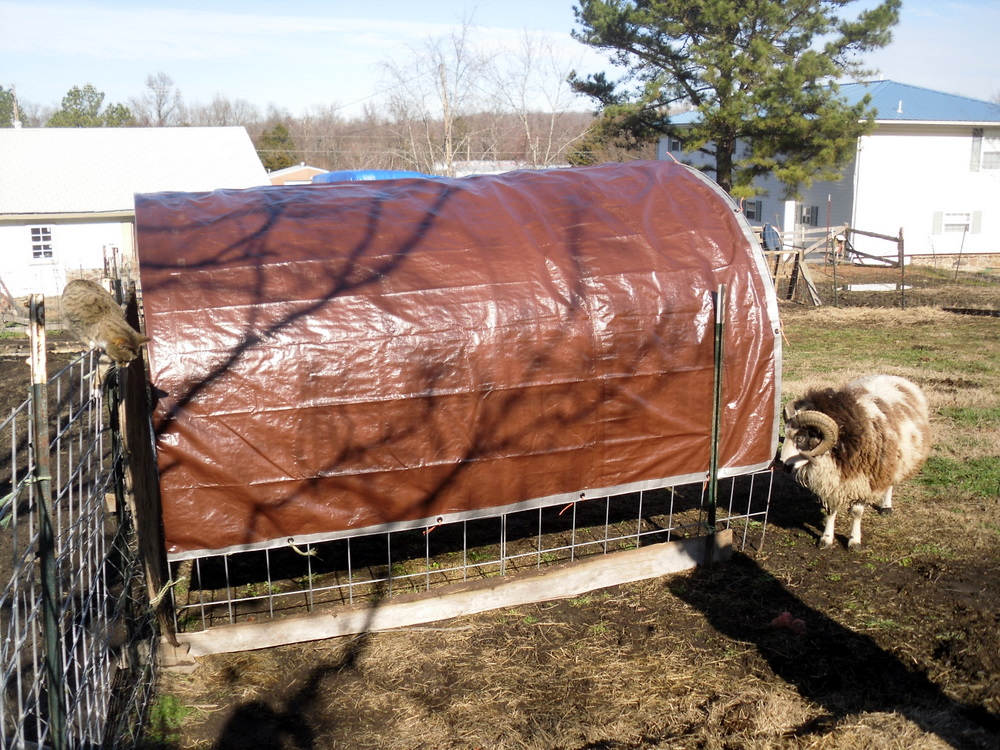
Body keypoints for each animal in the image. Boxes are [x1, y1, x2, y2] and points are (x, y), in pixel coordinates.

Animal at [780, 374, 931, 550]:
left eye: (800, 438)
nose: (783, 465)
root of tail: (890, 376)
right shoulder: (833, 483)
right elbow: (831, 510)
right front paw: (826, 539)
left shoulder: (865, 481)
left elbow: (857, 512)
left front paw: (854, 541)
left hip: (892, 461)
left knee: (890, 482)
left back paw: (886, 507)